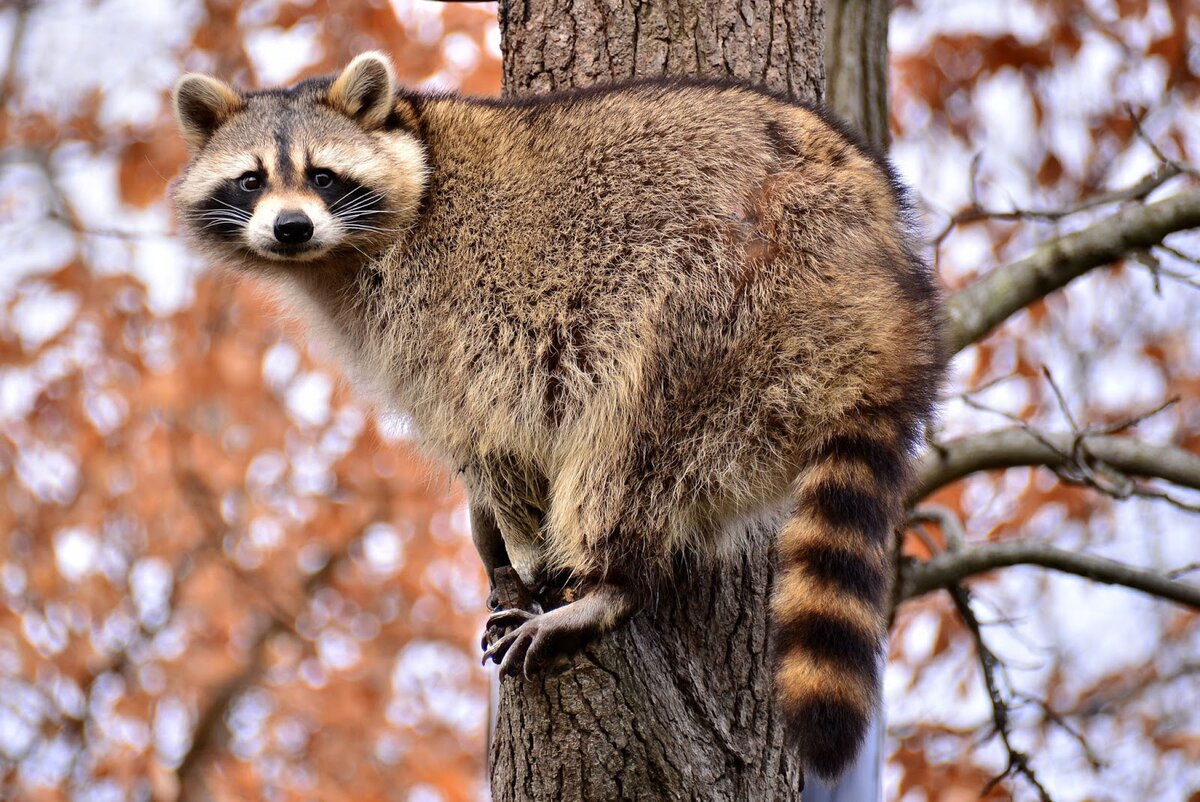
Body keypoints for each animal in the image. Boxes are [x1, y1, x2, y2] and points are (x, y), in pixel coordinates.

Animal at [169, 53, 940, 777]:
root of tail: (892, 292)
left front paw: (519, 539)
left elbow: (494, 433)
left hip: (734, 295)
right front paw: (489, 533)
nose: (291, 227)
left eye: (324, 176)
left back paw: (610, 583)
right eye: (251, 180)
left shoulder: (457, 309)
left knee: (634, 438)